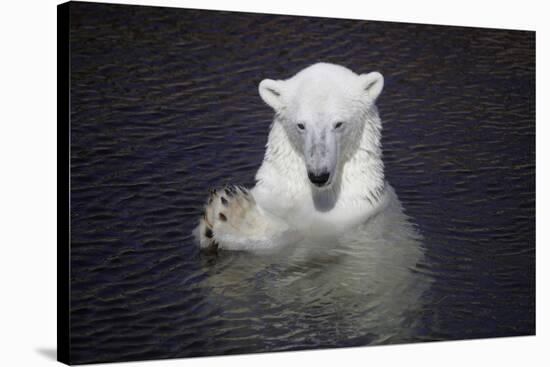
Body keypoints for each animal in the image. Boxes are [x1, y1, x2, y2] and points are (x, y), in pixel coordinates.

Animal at [198, 62, 396, 253]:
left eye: (339, 124)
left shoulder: (341, 221)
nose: (319, 176)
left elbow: (290, 238)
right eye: (301, 125)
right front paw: (209, 219)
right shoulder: (277, 192)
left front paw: (235, 211)